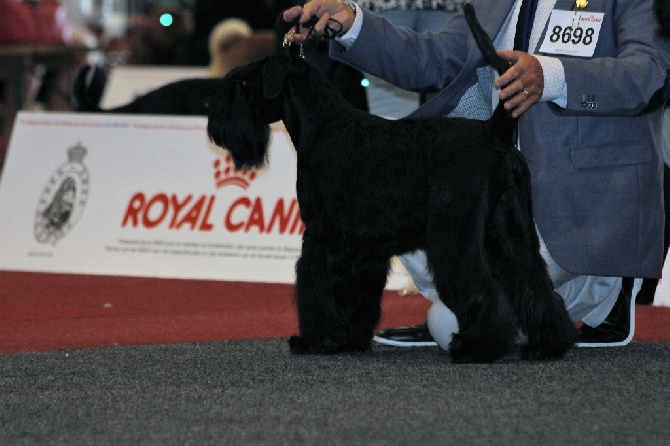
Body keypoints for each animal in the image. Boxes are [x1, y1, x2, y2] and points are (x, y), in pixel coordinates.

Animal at [207, 5, 576, 362]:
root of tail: (493, 131)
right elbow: (357, 297)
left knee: (484, 290)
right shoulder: (361, 247)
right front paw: (349, 339)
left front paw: (313, 339)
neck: (322, 125)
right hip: (511, 231)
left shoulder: (320, 236)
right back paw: (547, 344)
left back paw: (475, 347)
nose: (213, 119)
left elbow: (317, 289)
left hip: (455, 238)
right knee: (534, 283)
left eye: (243, 83)